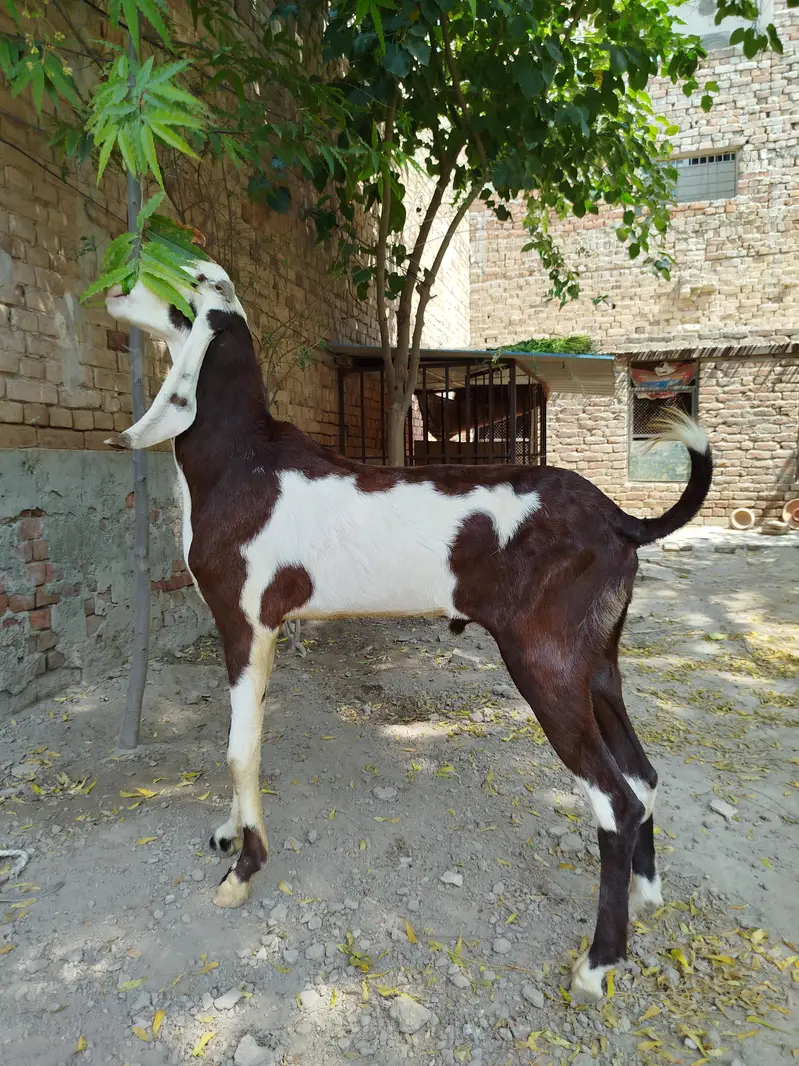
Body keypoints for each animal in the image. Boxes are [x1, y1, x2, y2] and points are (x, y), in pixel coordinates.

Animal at [105, 262, 713, 1002]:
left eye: (182, 287)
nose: (113, 287)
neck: (244, 460)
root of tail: (621, 519)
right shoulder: (265, 633)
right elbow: (246, 743)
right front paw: (231, 832)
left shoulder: (244, 623)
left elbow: (237, 752)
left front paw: (243, 870)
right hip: (594, 665)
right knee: (643, 775)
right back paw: (647, 896)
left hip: (544, 665)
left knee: (615, 800)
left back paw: (598, 963)